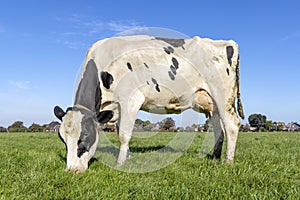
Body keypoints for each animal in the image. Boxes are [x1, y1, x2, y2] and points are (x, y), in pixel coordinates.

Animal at [55, 35, 245, 173]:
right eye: (62, 139)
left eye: (85, 136)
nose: (71, 170)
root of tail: (228, 43)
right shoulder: (117, 107)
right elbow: (120, 130)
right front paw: (128, 157)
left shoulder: (130, 99)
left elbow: (123, 135)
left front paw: (119, 164)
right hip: (211, 103)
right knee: (219, 130)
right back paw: (215, 158)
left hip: (222, 96)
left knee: (231, 125)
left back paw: (228, 162)